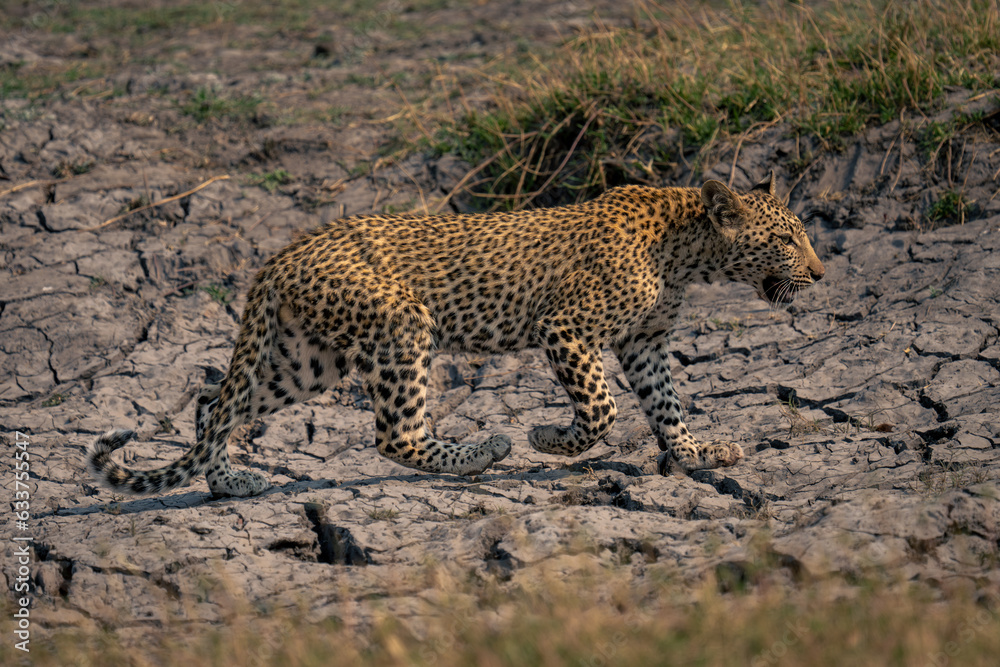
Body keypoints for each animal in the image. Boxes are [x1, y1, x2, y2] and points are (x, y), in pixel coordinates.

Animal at [89, 171, 825, 498]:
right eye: (787, 239)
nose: (820, 272)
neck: (686, 251)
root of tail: (282, 252)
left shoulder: (644, 342)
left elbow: (667, 405)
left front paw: (699, 453)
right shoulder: (567, 328)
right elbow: (602, 409)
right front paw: (548, 438)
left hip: (306, 357)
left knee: (213, 403)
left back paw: (226, 482)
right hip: (400, 325)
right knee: (396, 435)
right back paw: (482, 452)